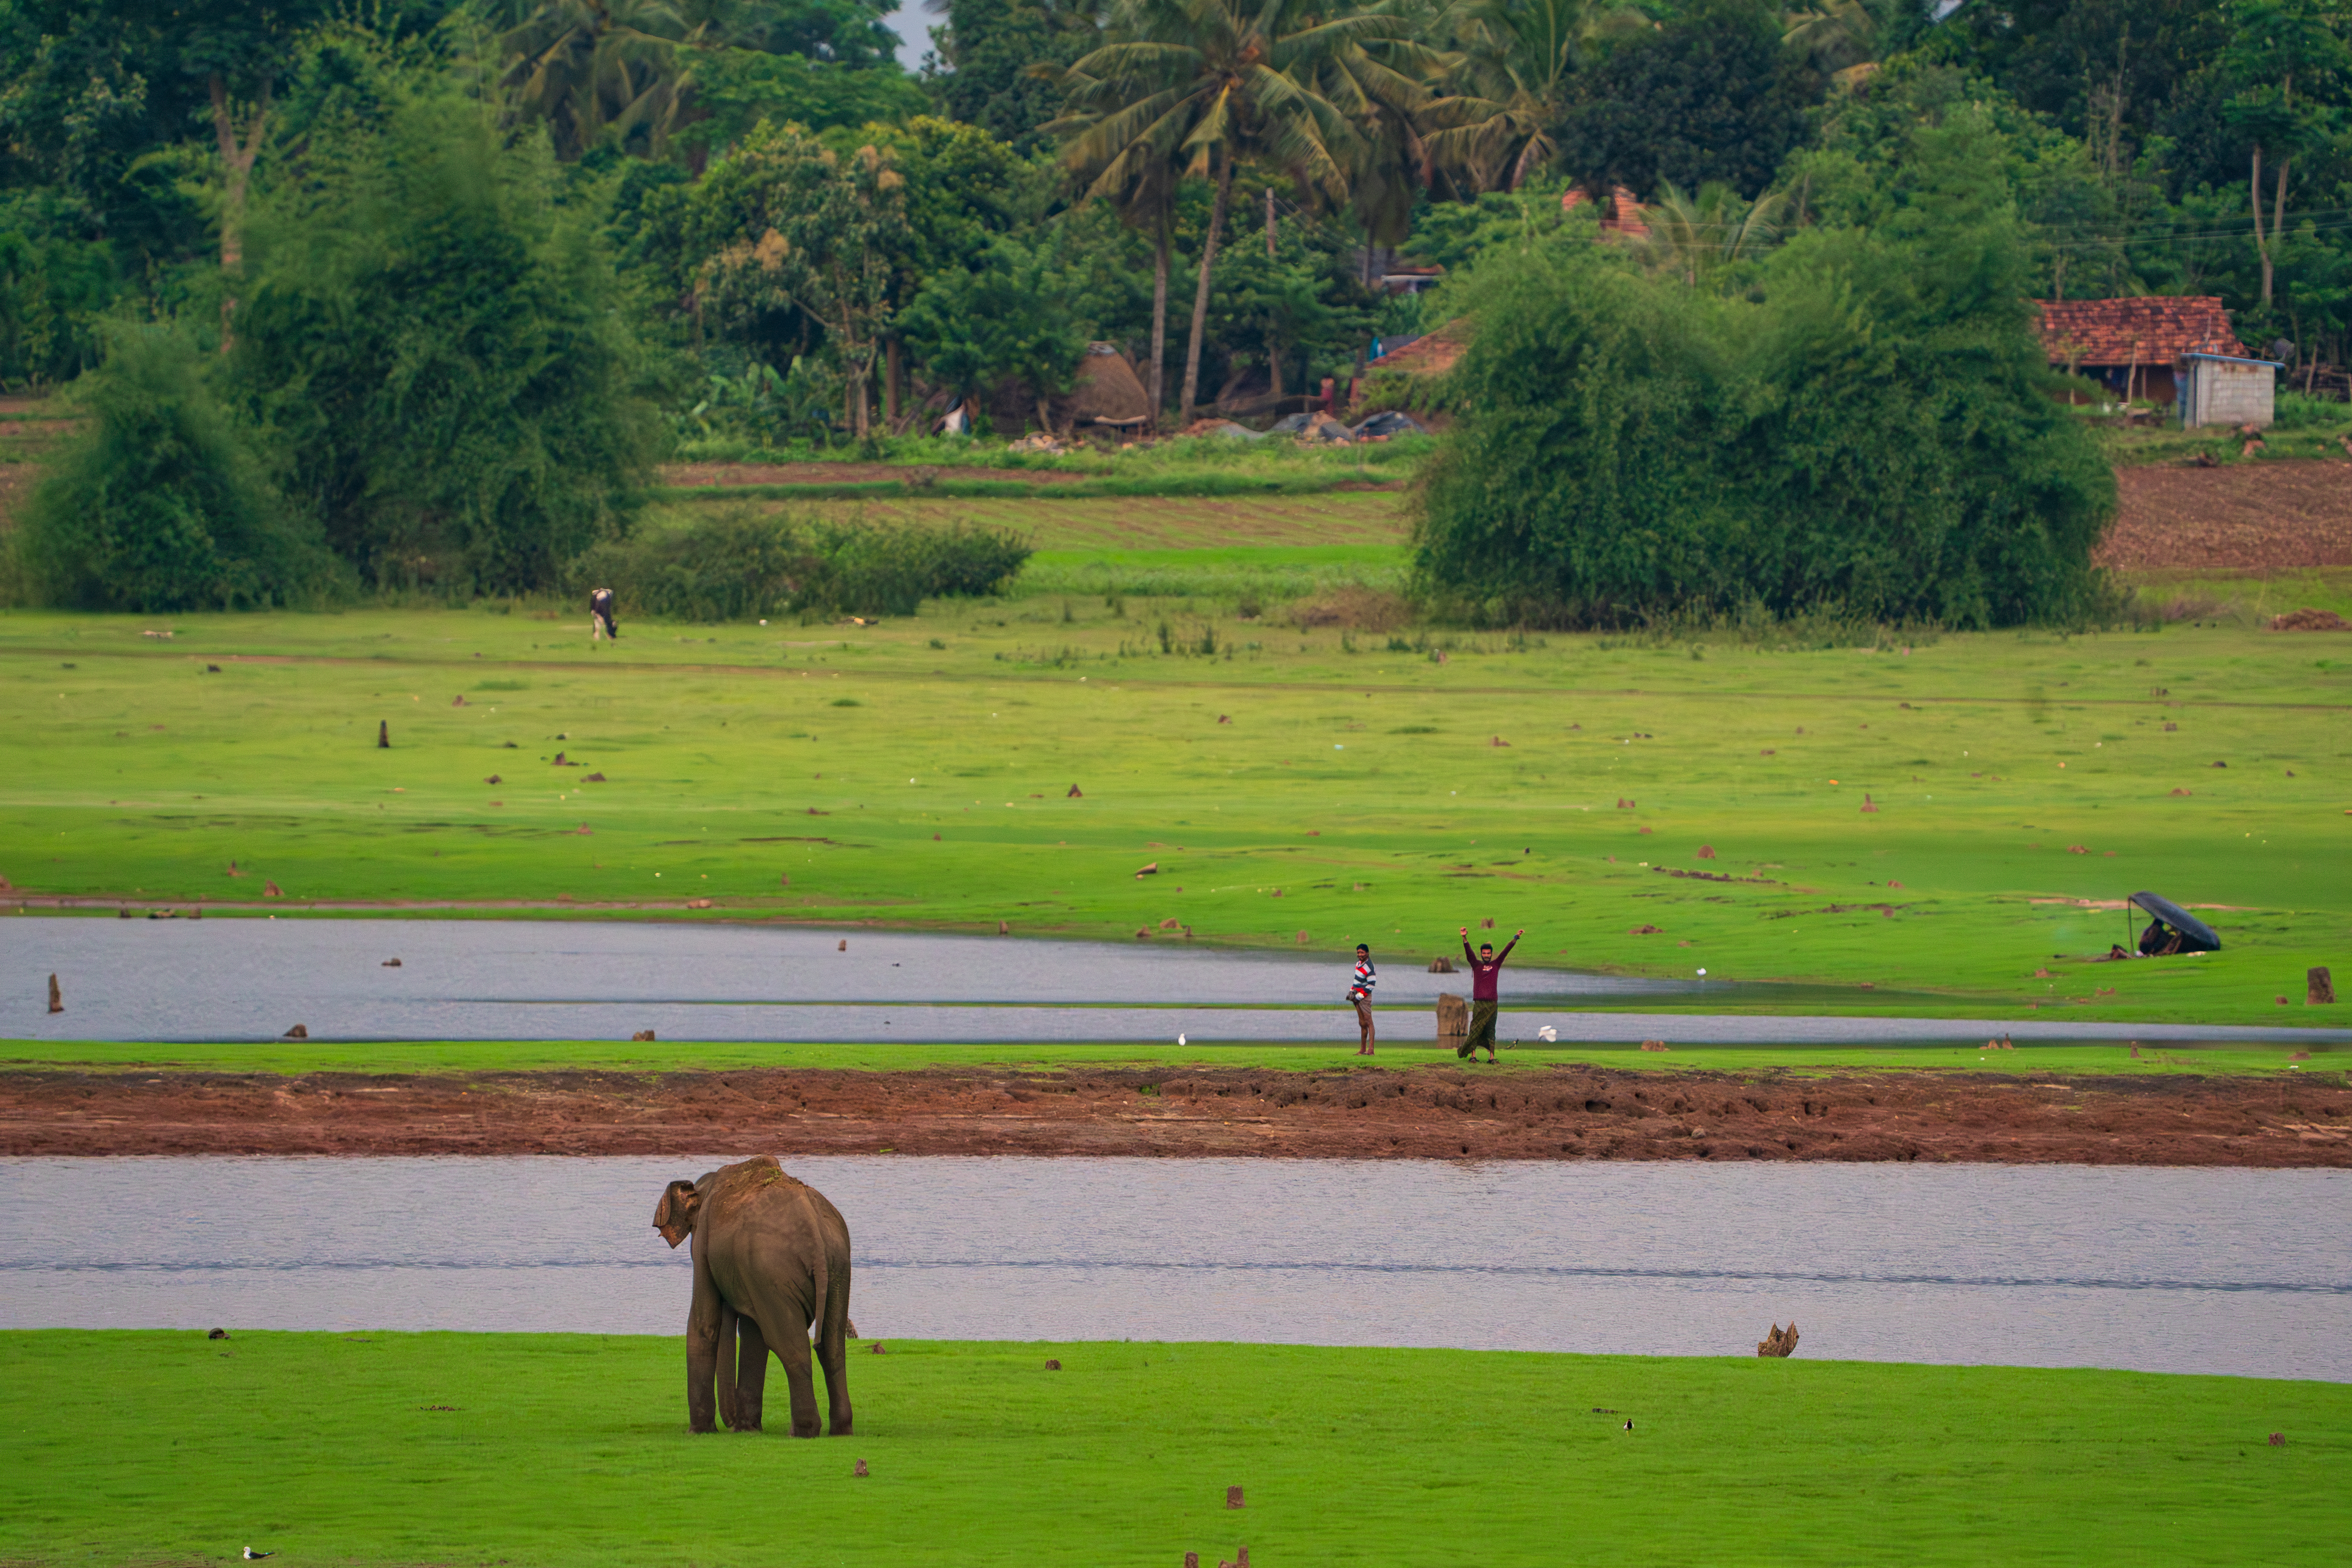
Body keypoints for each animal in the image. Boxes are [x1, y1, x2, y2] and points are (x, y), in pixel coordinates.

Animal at [653, 1155, 853, 1437]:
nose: (731, 1424)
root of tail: (815, 1233)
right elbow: (752, 1334)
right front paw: (748, 1430)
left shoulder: (704, 1241)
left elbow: (705, 1322)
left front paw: (699, 1432)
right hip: (837, 1270)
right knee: (832, 1346)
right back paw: (841, 1430)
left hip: (774, 1270)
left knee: (789, 1344)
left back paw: (802, 1431)